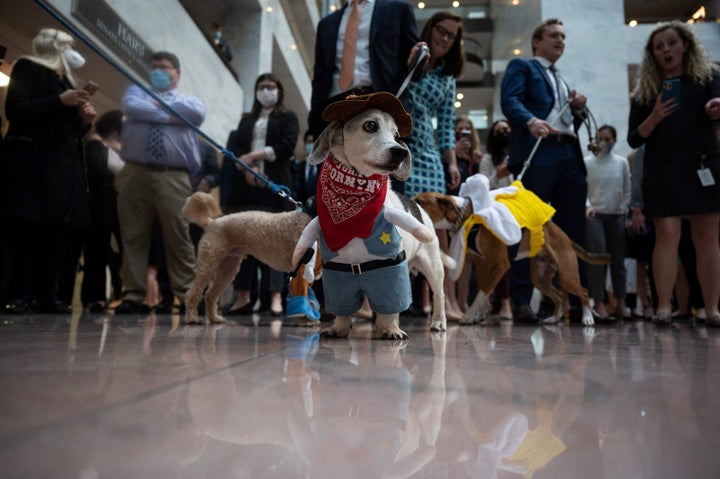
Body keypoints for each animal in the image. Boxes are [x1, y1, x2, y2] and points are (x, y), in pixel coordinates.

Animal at [292, 93, 450, 338]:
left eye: (396, 135)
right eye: (370, 125)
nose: (400, 151)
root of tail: (416, 205)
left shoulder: (390, 273)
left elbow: (391, 305)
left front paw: (390, 328)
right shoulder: (337, 277)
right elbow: (342, 309)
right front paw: (339, 327)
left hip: (432, 265)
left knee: (439, 294)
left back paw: (438, 322)